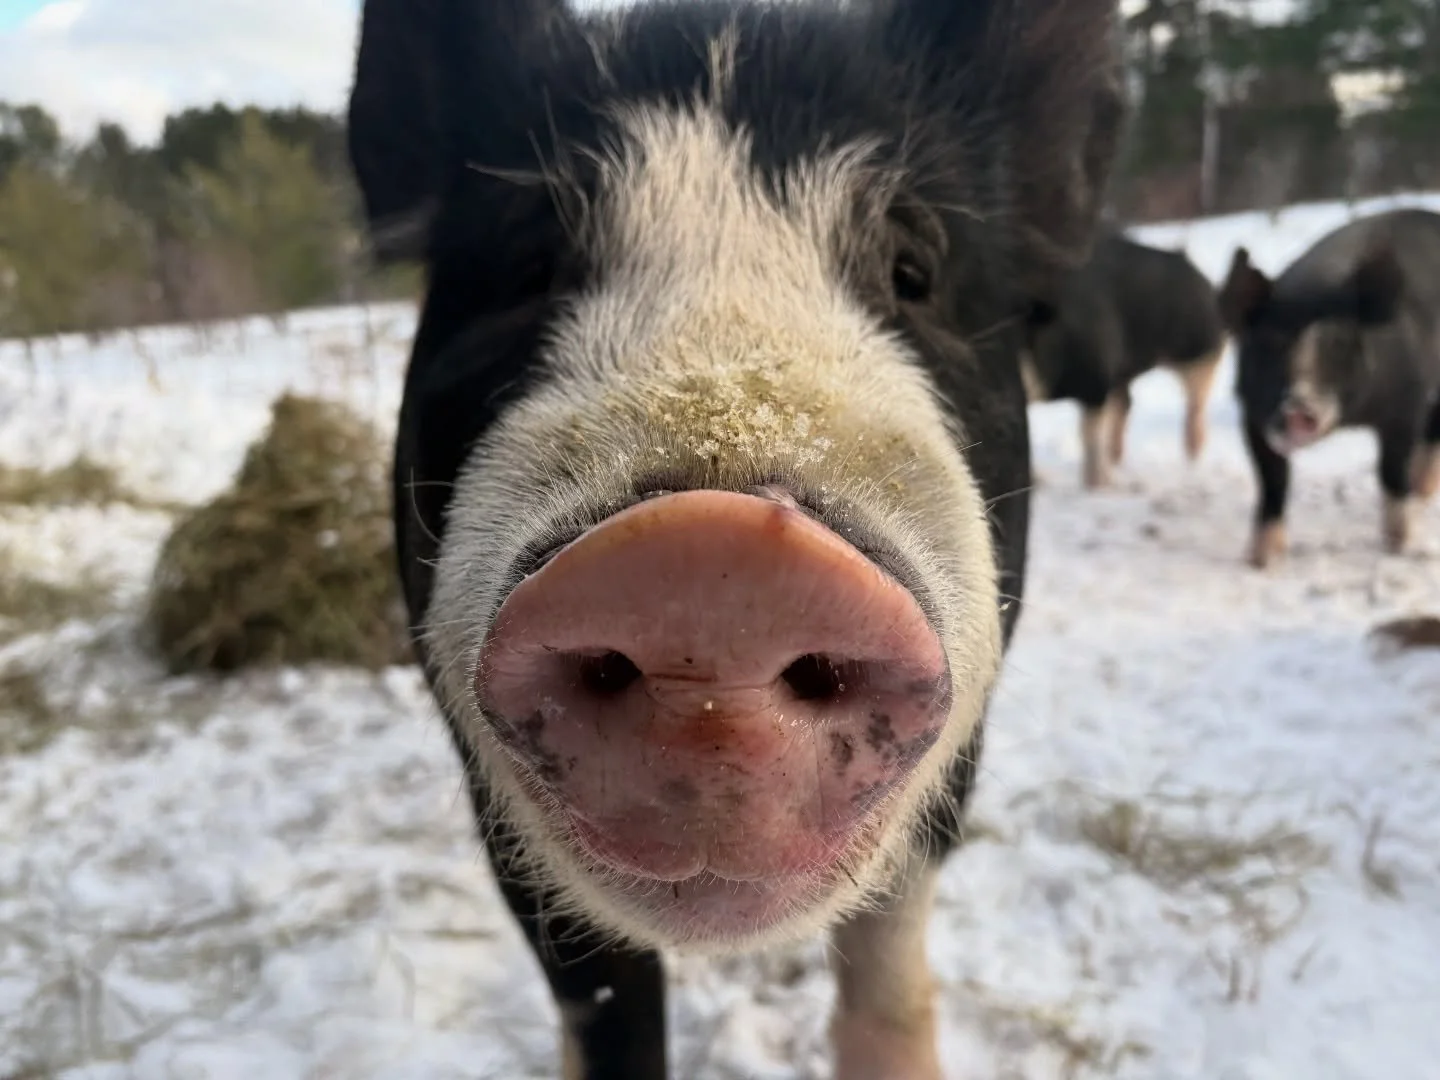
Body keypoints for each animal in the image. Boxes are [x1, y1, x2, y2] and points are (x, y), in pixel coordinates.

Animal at [346, 0, 1126, 1076]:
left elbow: (888, 972)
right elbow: (605, 1009)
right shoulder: (491, 807)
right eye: (526, 265)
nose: (711, 561)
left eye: (913, 271)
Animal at [1019, 229, 1228, 488]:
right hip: (1127, 371)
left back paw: (1192, 455)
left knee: (1196, 400)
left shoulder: (1096, 379)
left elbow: (1090, 433)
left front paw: (1097, 486)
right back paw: (1118, 460)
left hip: (1199, 347)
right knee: (1127, 402)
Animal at [1218, 207, 1440, 568]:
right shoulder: (1251, 413)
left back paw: (1422, 490)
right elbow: (1273, 481)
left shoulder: (1406, 403)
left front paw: (1401, 545)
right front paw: (1261, 560)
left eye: (1339, 343)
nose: (1297, 406)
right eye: (1270, 342)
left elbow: (1391, 471)